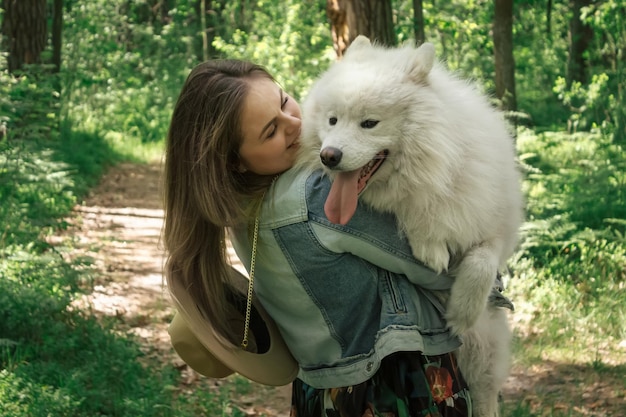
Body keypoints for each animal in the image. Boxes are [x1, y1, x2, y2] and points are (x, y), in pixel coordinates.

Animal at [298, 36, 520, 416]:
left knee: (485, 394)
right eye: (332, 120)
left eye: (369, 123)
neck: (437, 162)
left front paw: (461, 311)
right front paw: (428, 244)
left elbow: (482, 262)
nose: (329, 155)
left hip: (483, 354)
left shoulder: (496, 226)